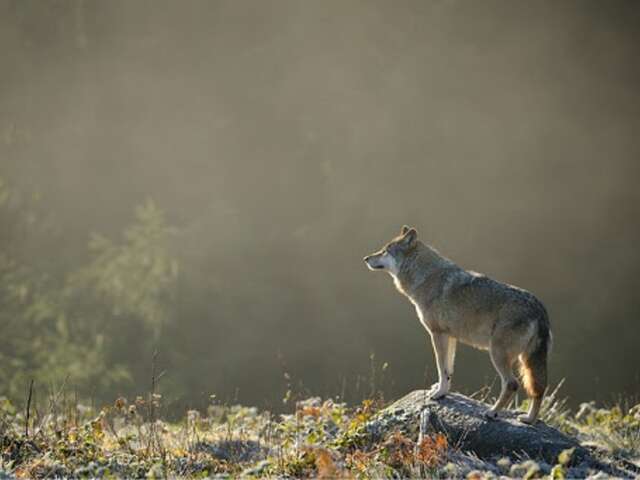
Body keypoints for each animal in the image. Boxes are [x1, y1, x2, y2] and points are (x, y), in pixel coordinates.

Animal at [364, 226, 552, 424]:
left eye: (385, 251)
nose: (366, 258)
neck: (425, 277)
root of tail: (539, 309)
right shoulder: (450, 337)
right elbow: (448, 370)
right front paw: (442, 391)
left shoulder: (437, 334)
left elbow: (441, 367)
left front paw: (438, 394)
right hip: (526, 361)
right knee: (539, 390)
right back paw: (529, 419)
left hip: (498, 354)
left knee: (512, 384)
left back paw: (492, 412)